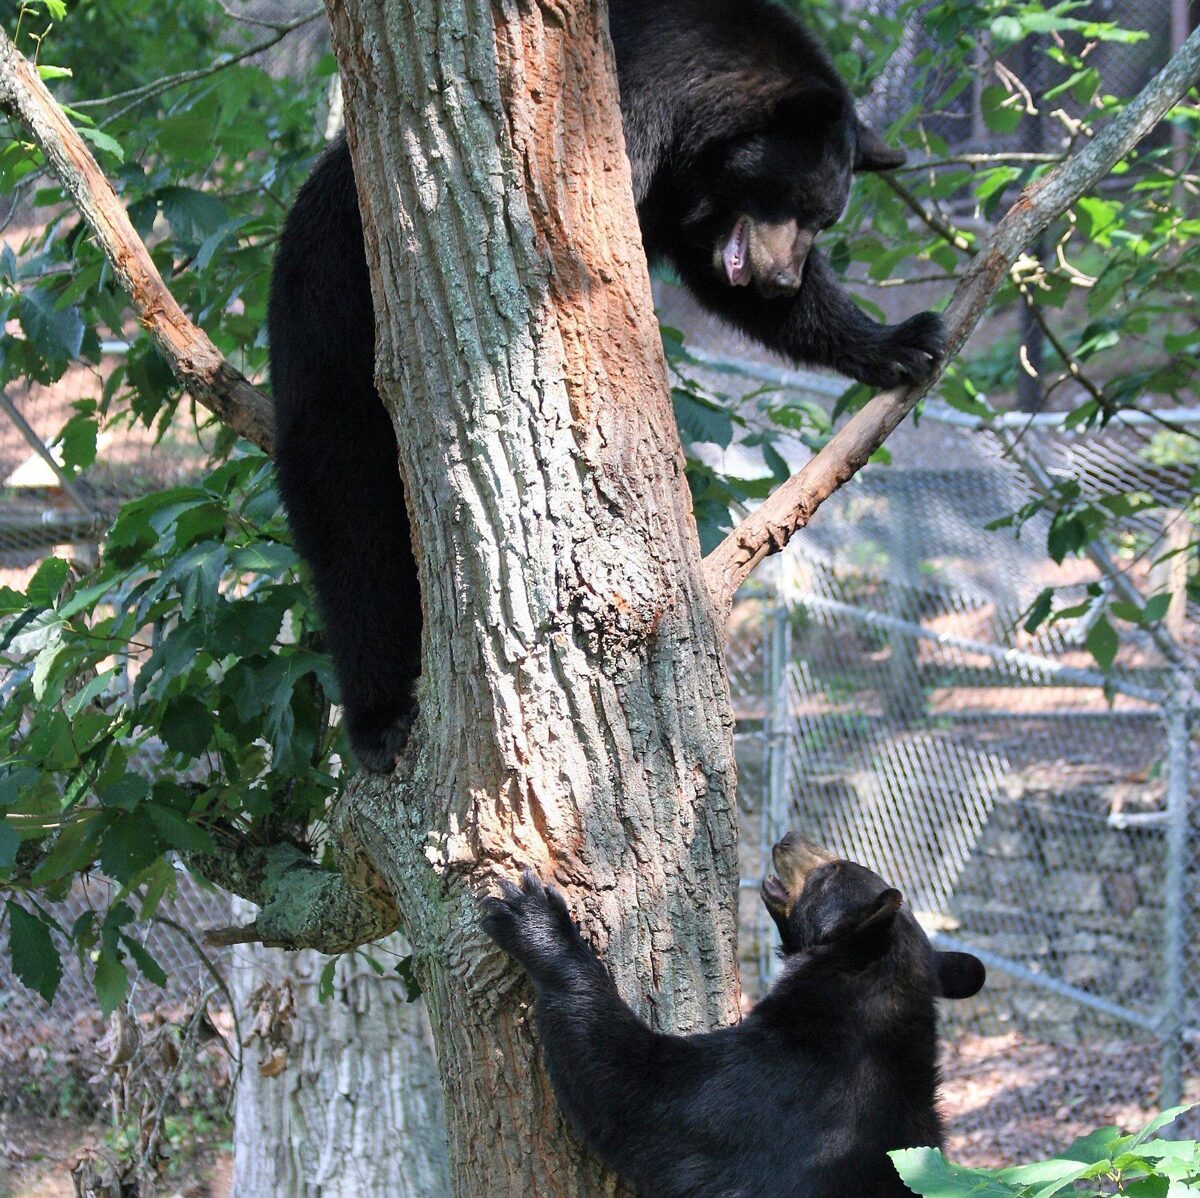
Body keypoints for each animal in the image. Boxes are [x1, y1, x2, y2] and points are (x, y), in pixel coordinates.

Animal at [268, 0, 945, 770]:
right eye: (790, 199)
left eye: (824, 219)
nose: (780, 279)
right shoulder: (616, 109)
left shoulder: (689, 198)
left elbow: (720, 282)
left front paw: (902, 342)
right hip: (329, 359)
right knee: (353, 540)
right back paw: (381, 719)